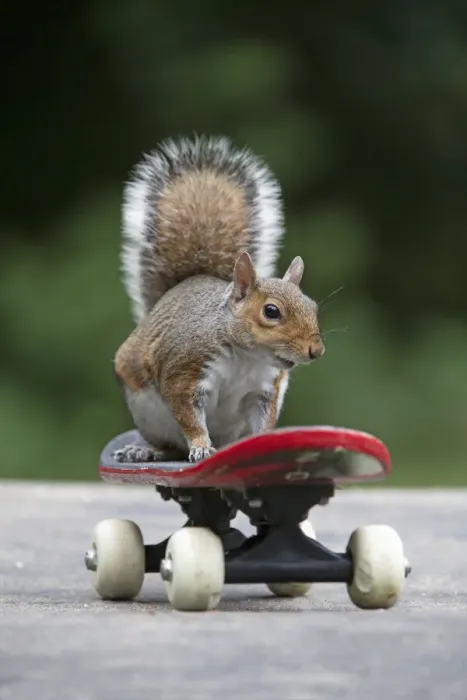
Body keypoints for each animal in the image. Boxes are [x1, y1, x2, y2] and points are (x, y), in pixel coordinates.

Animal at [113, 135, 325, 464]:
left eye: (312, 307)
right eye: (271, 311)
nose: (316, 350)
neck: (246, 359)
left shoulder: (263, 390)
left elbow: (264, 421)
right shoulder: (183, 371)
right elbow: (189, 417)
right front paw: (200, 445)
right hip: (147, 410)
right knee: (170, 445)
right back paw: (145, 450)